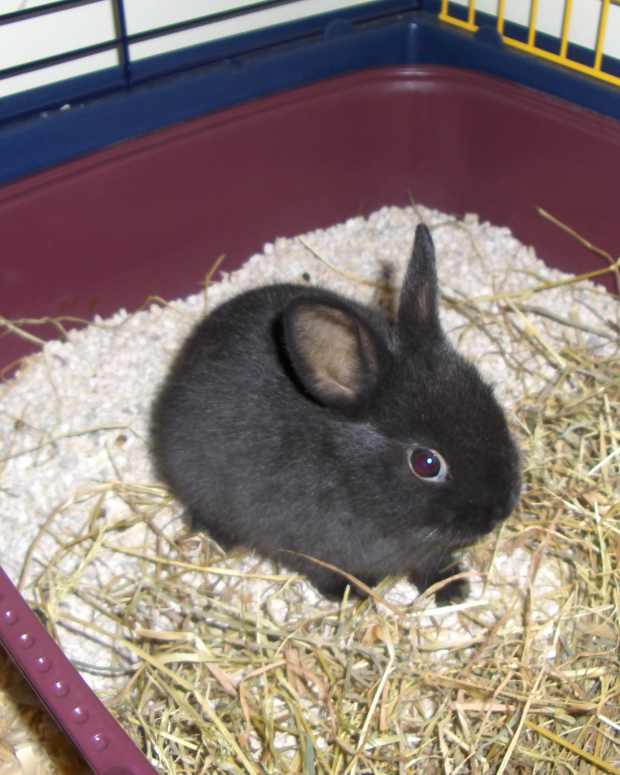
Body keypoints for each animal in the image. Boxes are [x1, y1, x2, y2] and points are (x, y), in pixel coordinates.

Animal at [151, 224, 521, 604]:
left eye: (490, 397)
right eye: (426, 463)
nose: (501, 509)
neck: (351, 476)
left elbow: (430, 565)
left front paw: (454, 588)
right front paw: (353, 592)